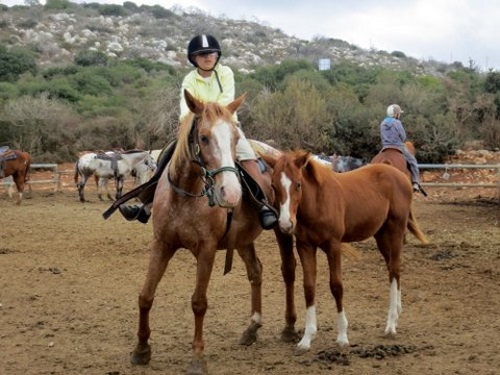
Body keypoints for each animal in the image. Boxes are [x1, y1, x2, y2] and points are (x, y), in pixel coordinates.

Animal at [129, 89, 284, 374]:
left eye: (235, 138)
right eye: (203, 137)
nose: (232, 193)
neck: (186, 194)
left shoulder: (207, 250)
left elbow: (199, 303)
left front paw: (198, 358)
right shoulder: (162, 244)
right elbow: (145, 296)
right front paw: (141, 350)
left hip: (284, 231)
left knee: (290, 271)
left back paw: (291, 330)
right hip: (243, 240)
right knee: (256, 271)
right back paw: (252, 328)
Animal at [260, 150, 428, 352]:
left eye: (298, 184)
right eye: (273, 185)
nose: (286, 224)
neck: (318, 203)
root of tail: (400, 175)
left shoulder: (333, 246)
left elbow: (336, 286)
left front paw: (342, 337)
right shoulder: (305, 247)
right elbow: (309, 287)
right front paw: (307, 338)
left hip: (395, 230)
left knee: (394, 269)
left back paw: (390, 326)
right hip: (380, 235)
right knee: (393, 268)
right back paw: (397, 311)